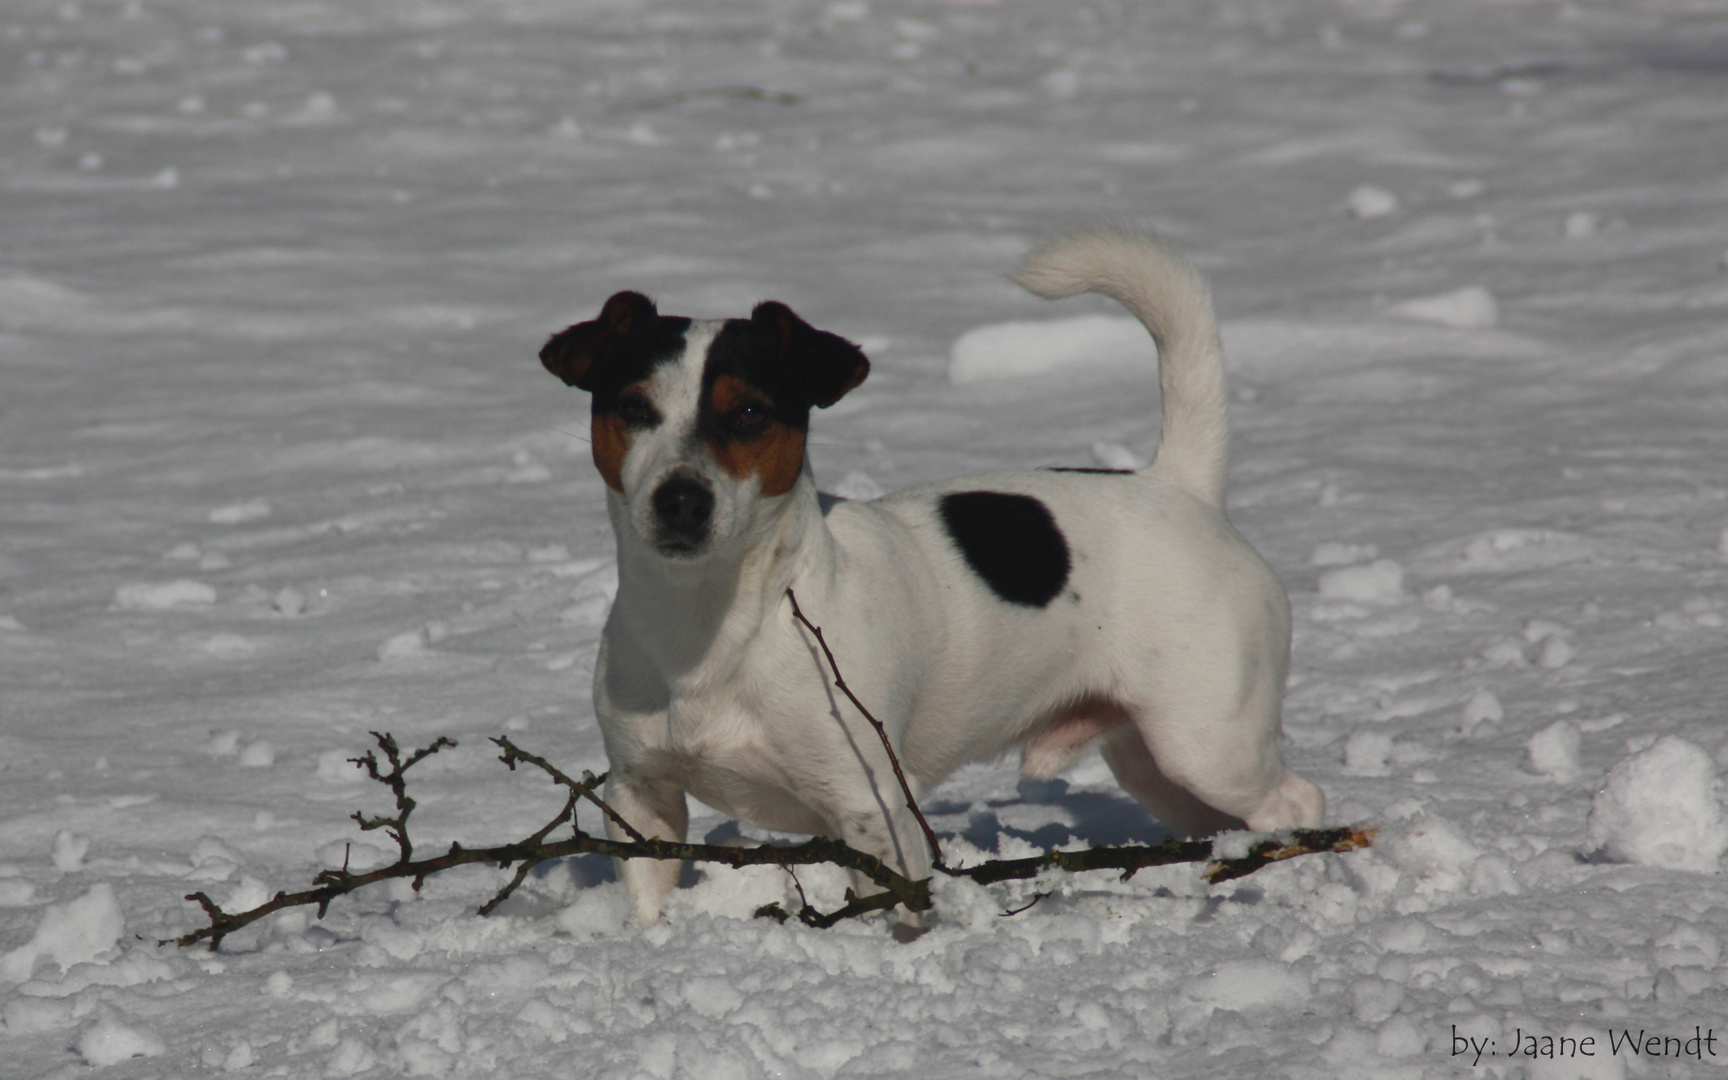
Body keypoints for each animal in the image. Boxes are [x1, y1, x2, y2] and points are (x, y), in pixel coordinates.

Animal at [539, 231, 1320, 919]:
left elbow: (897, 910)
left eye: (751, 413)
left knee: (1296, 799)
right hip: (1154, 765)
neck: (714, 622)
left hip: (1208, 743)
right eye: (634, 407)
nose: (680, 499)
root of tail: (1180, 486)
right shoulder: (642, 796)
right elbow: (649, 903)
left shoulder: (872, 807)